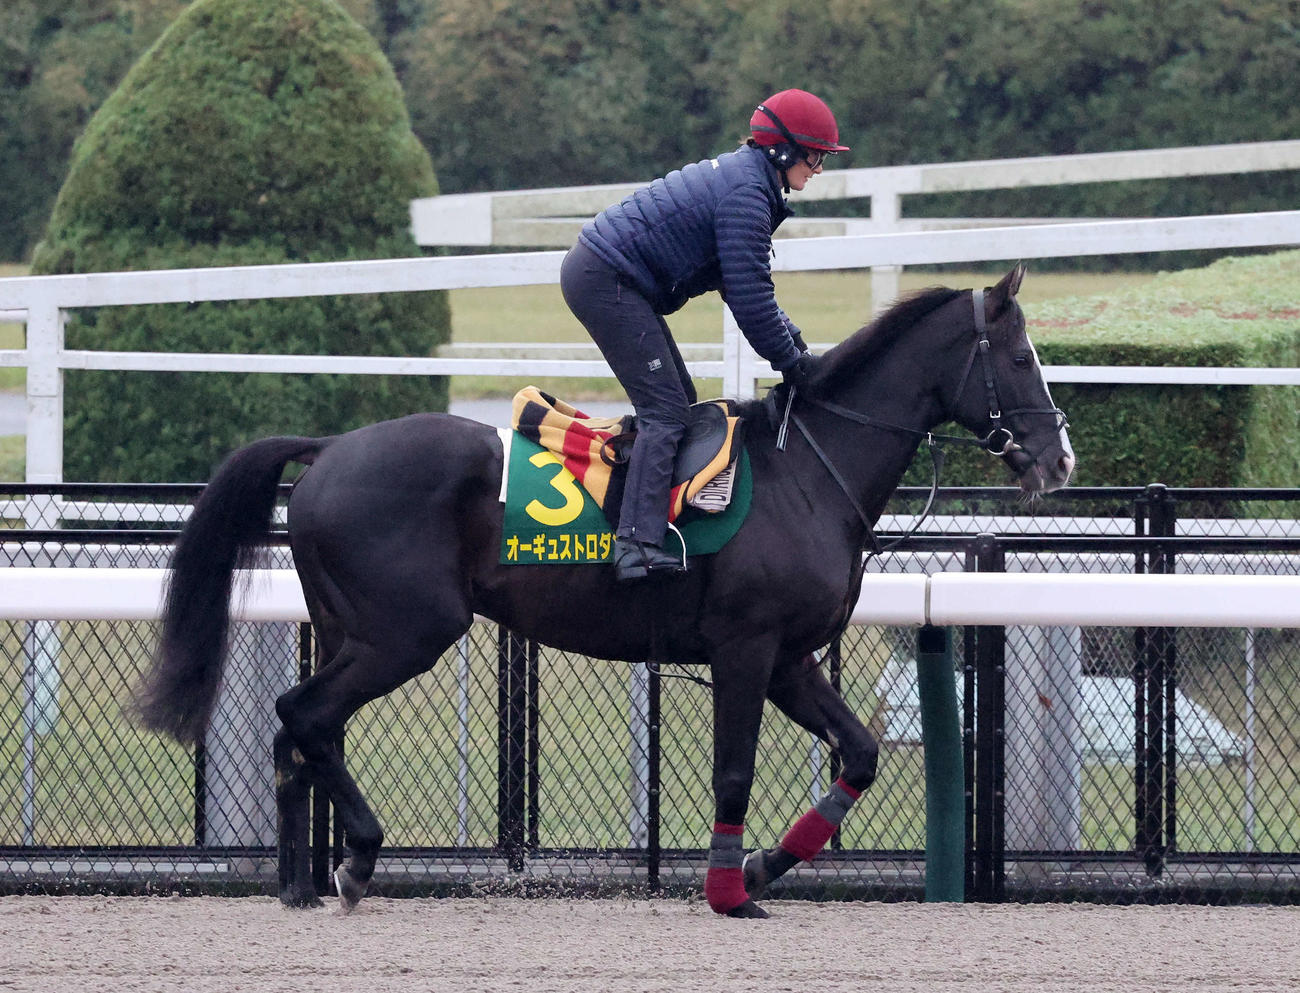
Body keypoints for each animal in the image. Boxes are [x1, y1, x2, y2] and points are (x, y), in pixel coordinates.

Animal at [131, 264, 1074, 918]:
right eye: (1023, 356)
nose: (1061, 458)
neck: (809, 472)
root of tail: (327, 448)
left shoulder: (789, 659)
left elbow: (863, 753)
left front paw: (765, 864)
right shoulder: (745, 648)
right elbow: (734, 769)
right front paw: (729, 891)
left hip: (350, 629)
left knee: (303, 730)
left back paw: (301, 881)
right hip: (408, 630)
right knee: (305, 713)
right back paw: (358, 857)